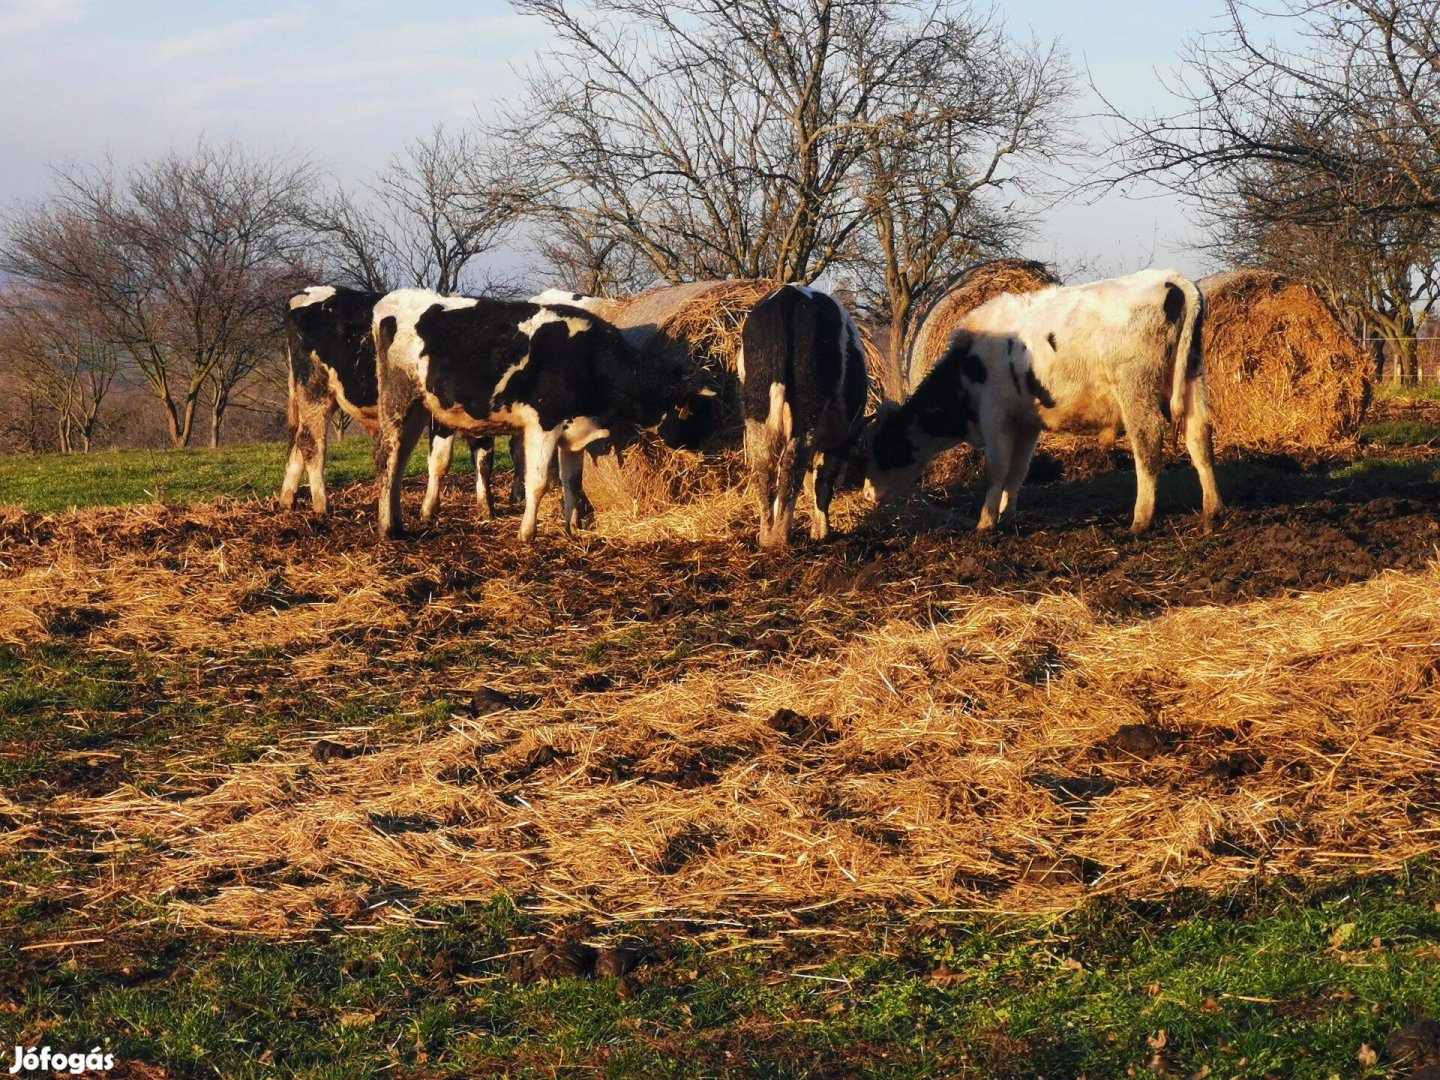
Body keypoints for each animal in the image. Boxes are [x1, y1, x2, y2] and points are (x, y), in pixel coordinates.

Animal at [280, 288, 501, 524]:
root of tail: (303, 293)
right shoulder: (440, 416)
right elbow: (441, 461)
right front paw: (428, 510)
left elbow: (483, 460)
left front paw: (487, 511)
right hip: (315, 390)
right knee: (312, 444)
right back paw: (322, 506)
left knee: (299, 441)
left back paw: (287, 501)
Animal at [374, 289, 682, 541]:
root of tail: (391, 300)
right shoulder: (543, 424)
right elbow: (538, 482)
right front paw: (527, 532)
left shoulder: (572, 431)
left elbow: (572, 482)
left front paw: (571, 528)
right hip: (398, 401)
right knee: (388, 459)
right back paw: (387, 528)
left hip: (418, 408)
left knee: (400, 462)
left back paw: (398, 523)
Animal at [743, 285, 864, 550]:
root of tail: (789, 293)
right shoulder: (841, 440)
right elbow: (823, 482)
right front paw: (821, 531)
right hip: (810, 405)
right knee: (793, 459)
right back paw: (781, 535)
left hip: (756, 403)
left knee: (763, 463)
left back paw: (767, 534)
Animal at [858, 269, 1221, 535]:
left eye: (882, 447)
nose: (866, 494)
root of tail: (1170, 278)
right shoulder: (1026, 423)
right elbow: (1017, 471)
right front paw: (1007, 516)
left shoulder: (995, 417)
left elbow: (996, 469)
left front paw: (985, 522)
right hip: (1192, 377)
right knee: (1199, 437)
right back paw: (1212, 510)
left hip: (1136, 388)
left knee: (1147, 445)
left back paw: (1140, 520)